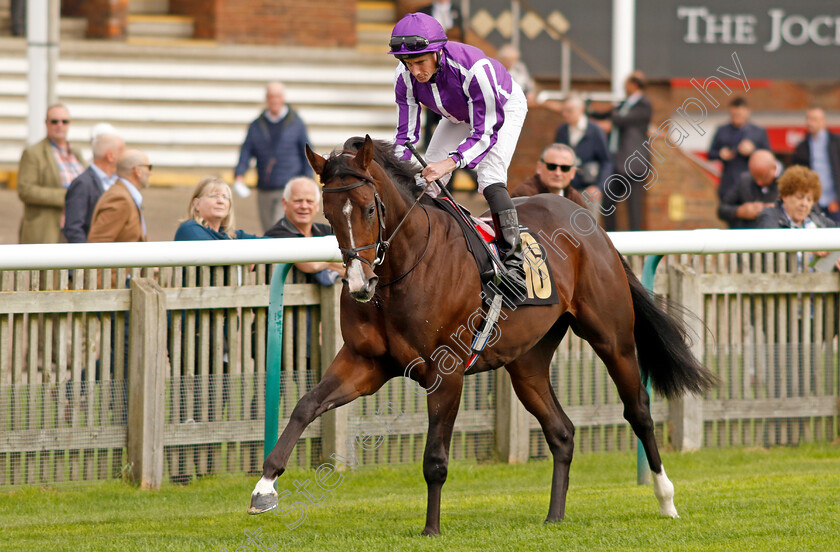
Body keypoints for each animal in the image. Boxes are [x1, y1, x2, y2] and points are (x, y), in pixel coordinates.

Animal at [249, 137, 716, 536]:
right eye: (328, 214)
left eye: (367, 209)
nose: (360, 285)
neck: (402, 269)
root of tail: (588, 219)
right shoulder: (365, 363)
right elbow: (305, 406)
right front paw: (264, 488)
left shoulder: (445, 371)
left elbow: (435, 458)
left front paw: (431, 529)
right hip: (527, 362)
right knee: (562, 431)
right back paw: (554, 516)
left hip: (612, 338)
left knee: (638, 411)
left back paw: (665, 499)